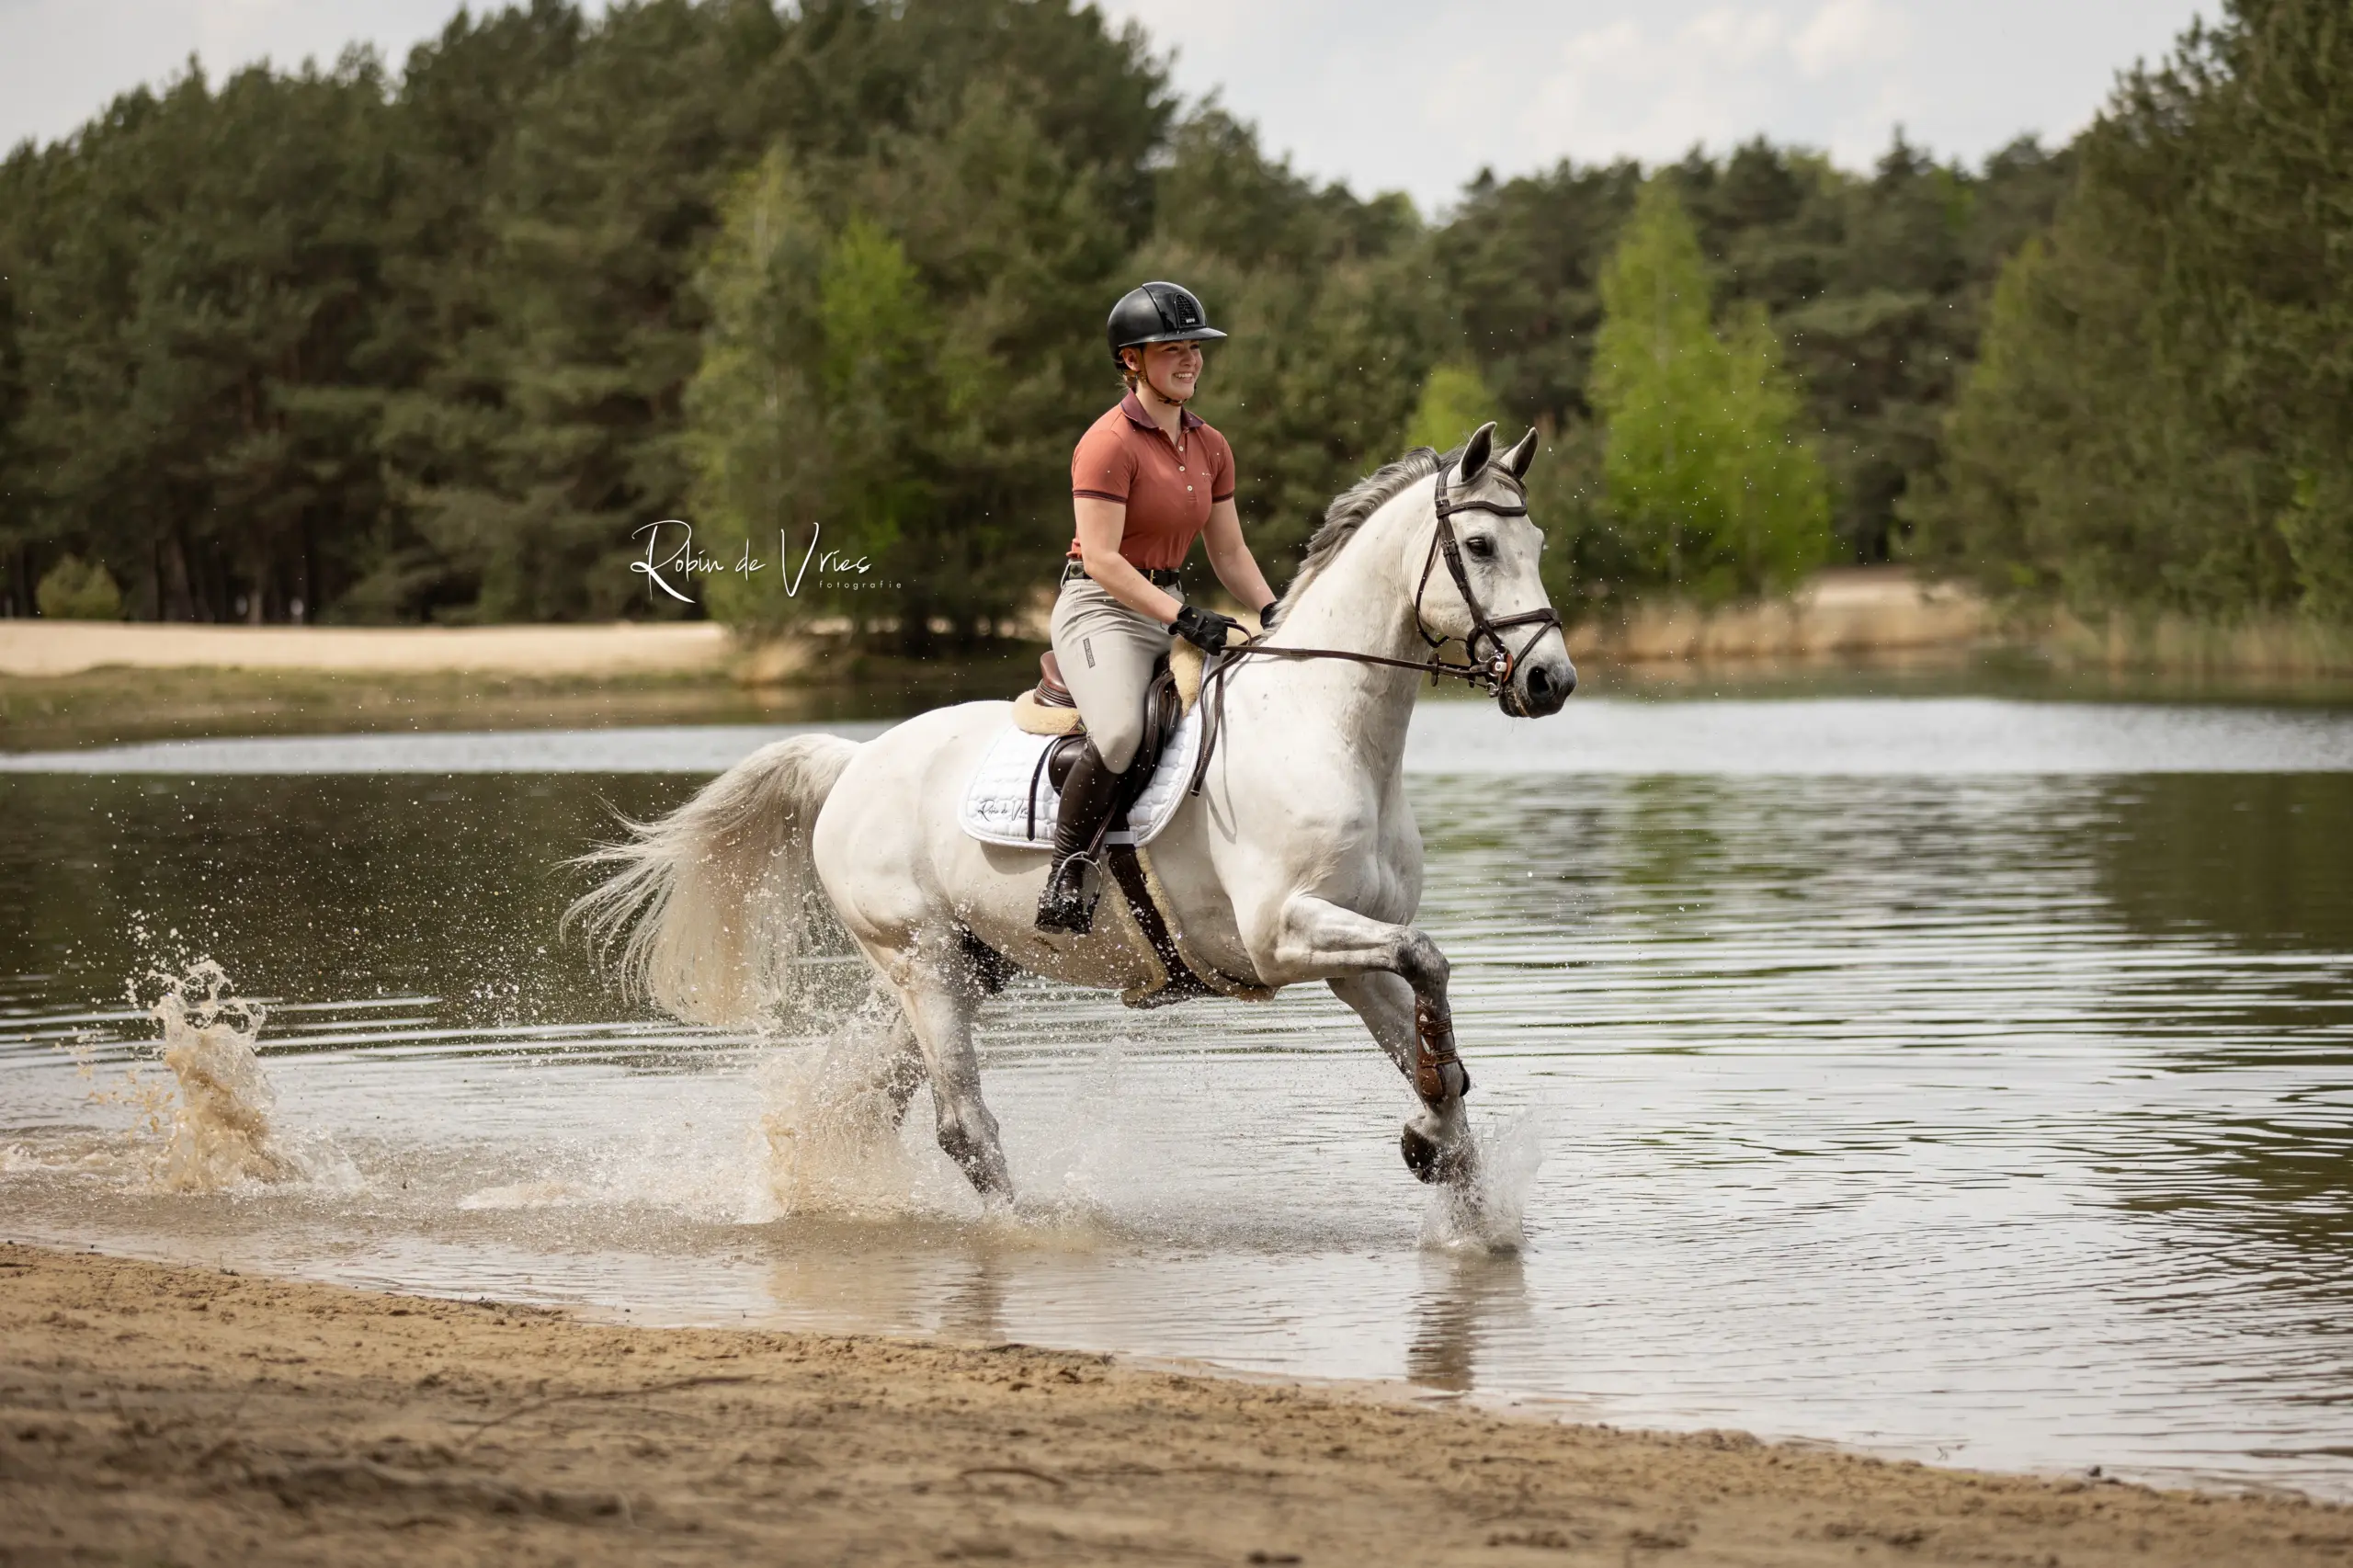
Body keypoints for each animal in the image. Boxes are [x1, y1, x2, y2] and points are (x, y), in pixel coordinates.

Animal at [572, 418, 1572, 1196]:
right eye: (1479, 548)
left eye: (1538, 547)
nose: (1550, 681)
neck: (1327, 727)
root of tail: (855, 761)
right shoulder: (1283, 933)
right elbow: (1430, 958)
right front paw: (1435, 1134)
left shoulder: (1353, 947)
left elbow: (1426, 1010)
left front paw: (1443, 1151)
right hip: (920, 957)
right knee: (963, 1127)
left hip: (960, 965)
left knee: (874, 1098)